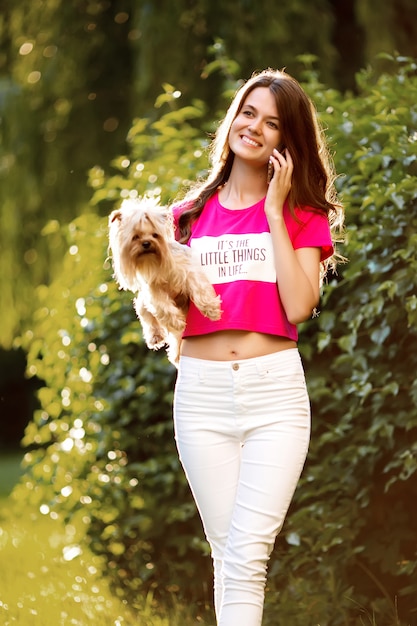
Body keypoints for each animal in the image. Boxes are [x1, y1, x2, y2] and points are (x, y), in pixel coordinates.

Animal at [107, 195, 221, 360]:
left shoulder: (189, 271)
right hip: (142, 304)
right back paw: (157, 338)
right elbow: (163, 307)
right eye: (135, 237)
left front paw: (211, 310)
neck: (154, 261)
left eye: (155, 235)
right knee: (148, 319)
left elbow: (199, 289)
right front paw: (177, 322)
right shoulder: (153, 290)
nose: (146, 243)